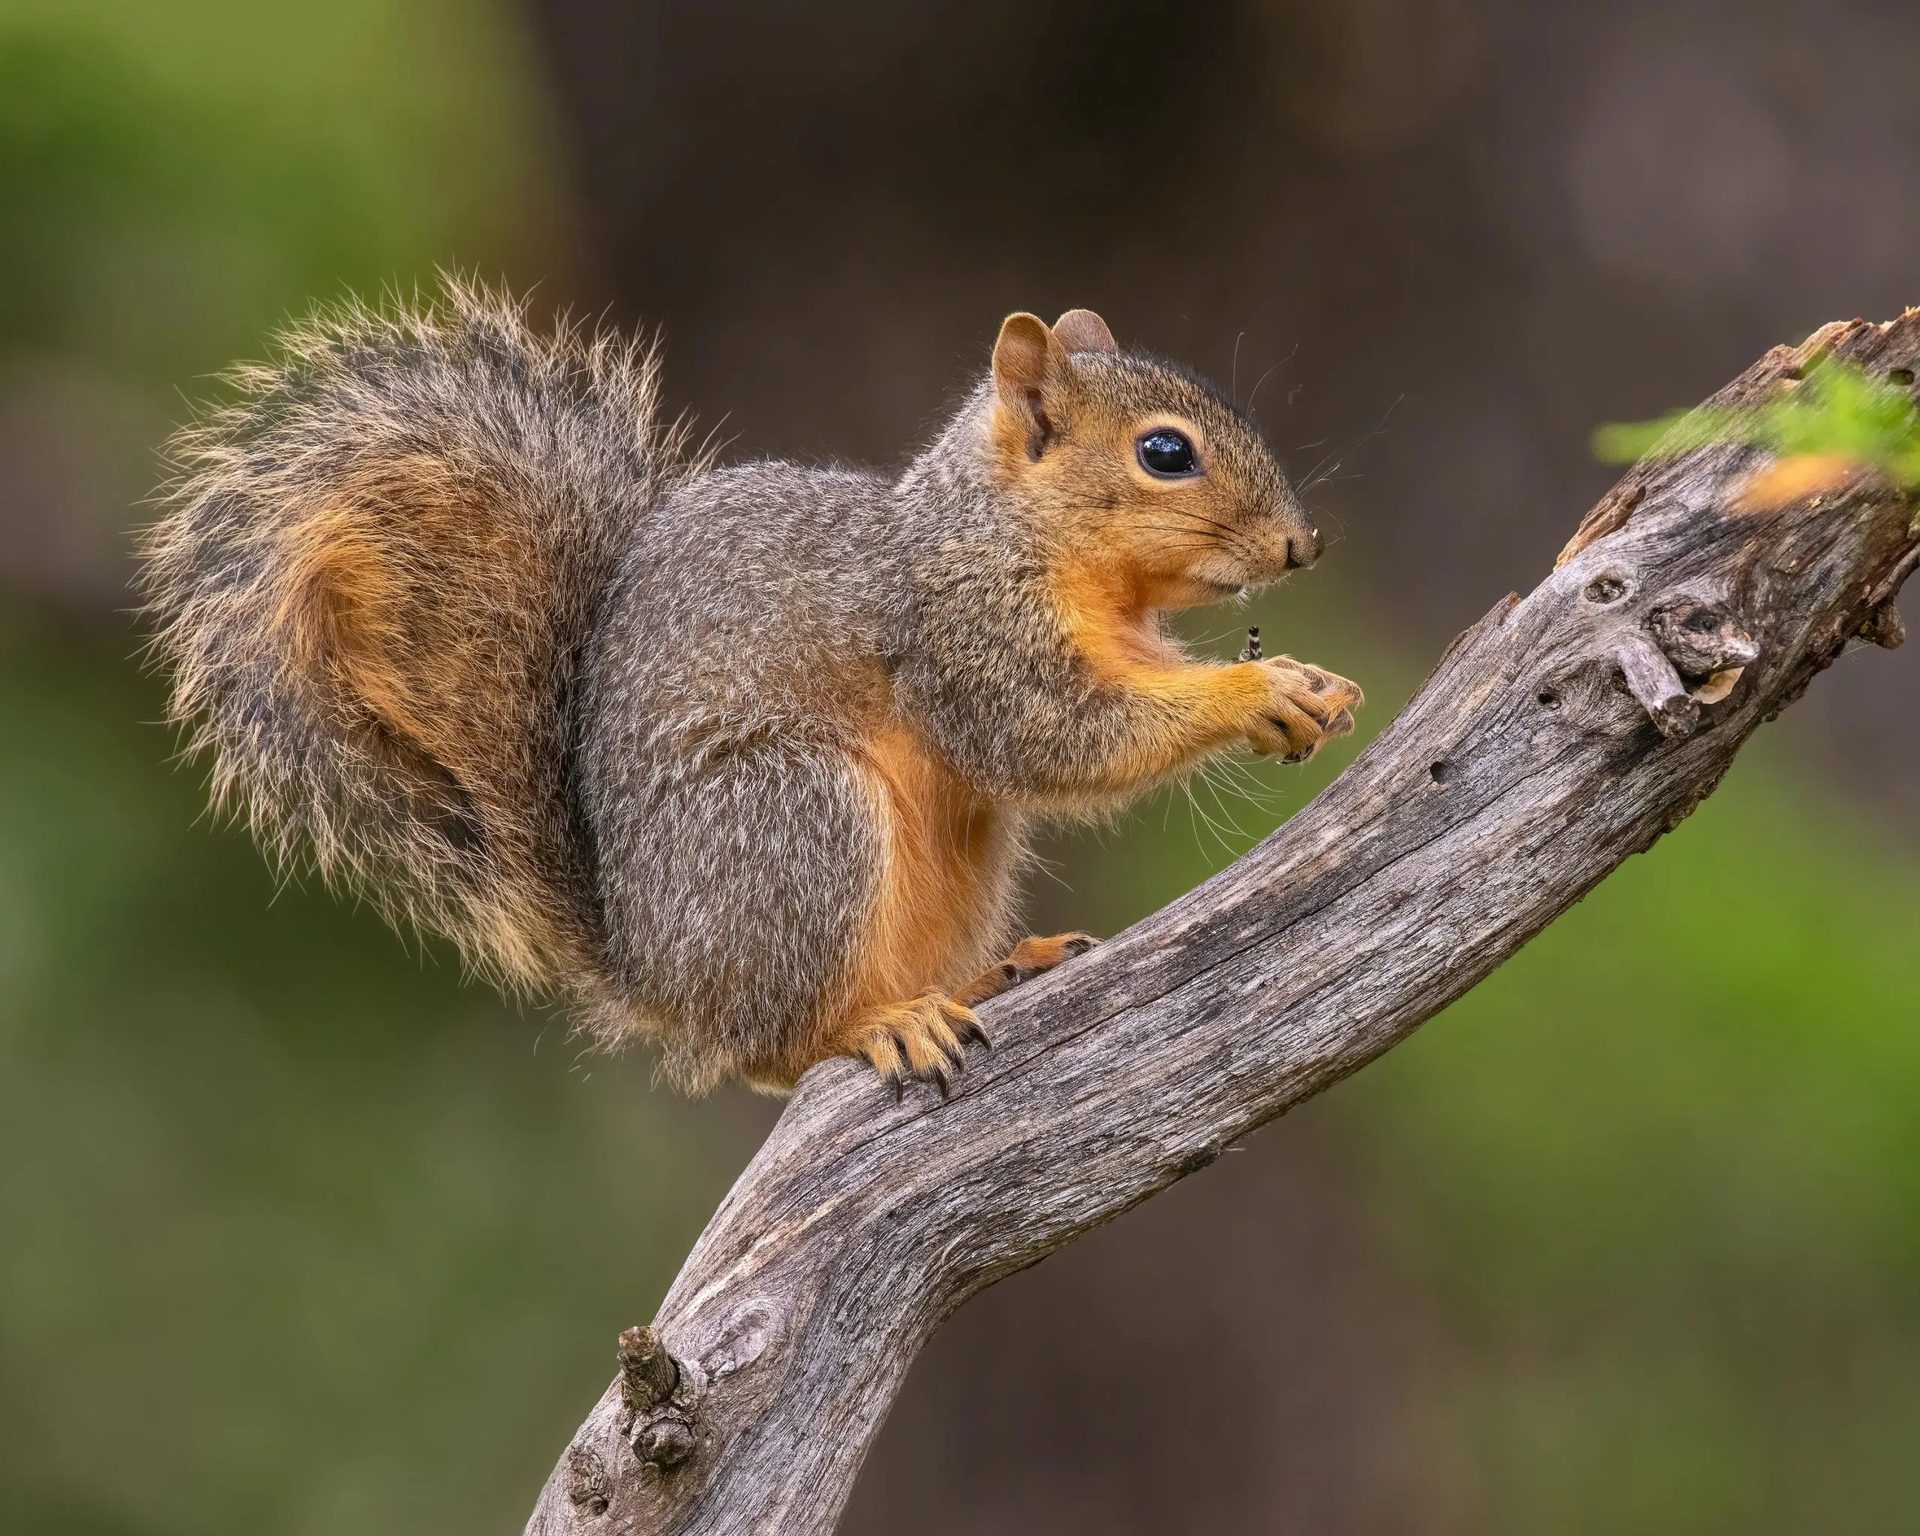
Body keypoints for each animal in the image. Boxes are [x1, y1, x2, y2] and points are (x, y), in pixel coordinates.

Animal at [141, 279, 1361, 1095]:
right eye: (1165, 454)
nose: (1303, 546)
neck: (1015, 533)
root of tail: (659, 973)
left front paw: (1303, 678)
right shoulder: (961, 633)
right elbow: (1054, 736)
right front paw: (1251, 694)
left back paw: (989, 975)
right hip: (791, 817)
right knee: (775, 1053)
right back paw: (875, 1028)